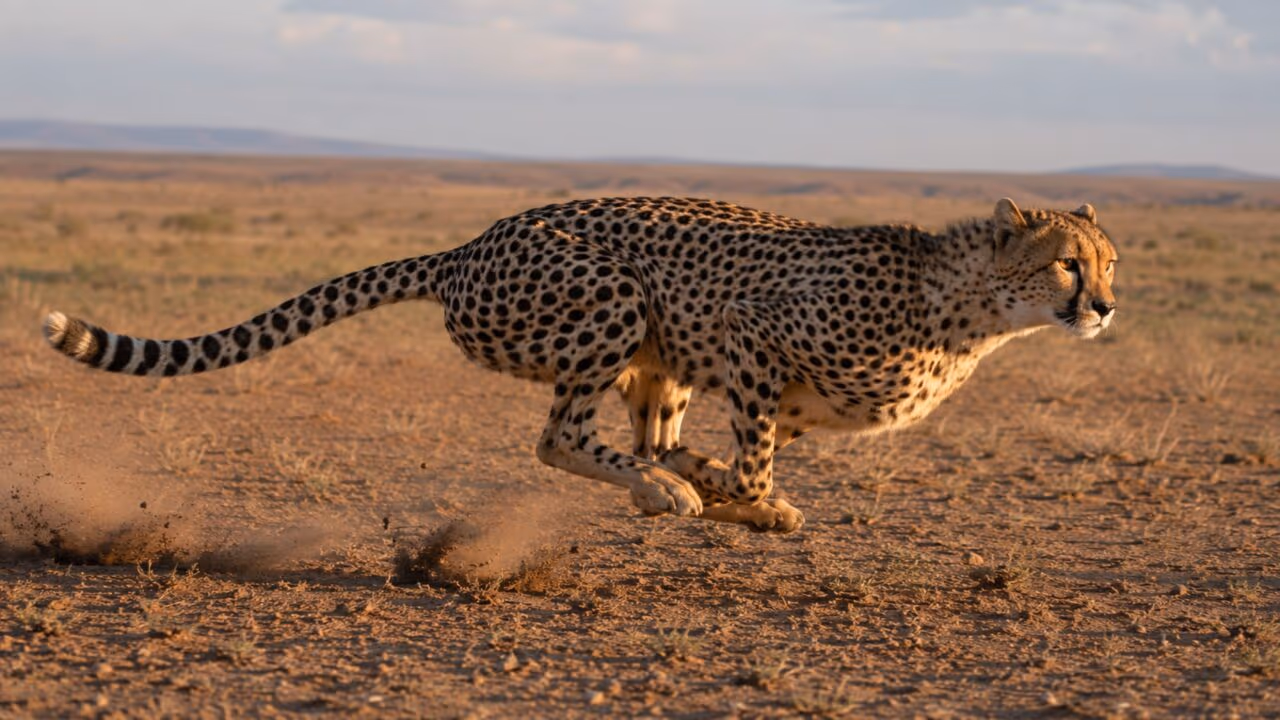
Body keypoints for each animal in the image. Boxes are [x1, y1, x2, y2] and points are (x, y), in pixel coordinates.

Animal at [43, 196, 1118, 533]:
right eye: (1067, 262)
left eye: (1110, 263)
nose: (1106, 306)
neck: (971, 306)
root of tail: (471, 244)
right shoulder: (753, 331)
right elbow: (760, 449)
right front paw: (751, 501)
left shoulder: (722, 349)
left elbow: (721, 443)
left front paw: (729, 489)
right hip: (614, 294)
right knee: (558, 434)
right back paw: (668, 492)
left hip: (653, 339)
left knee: (634, 430)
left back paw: (672, 480)